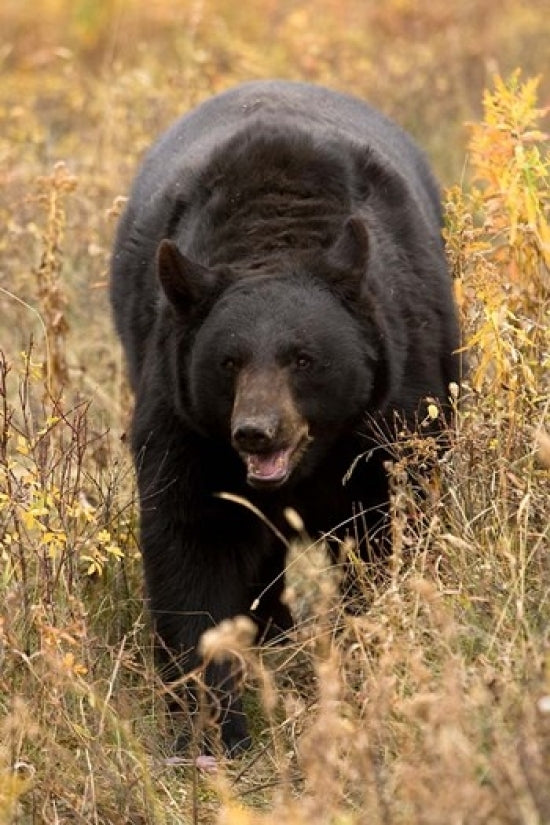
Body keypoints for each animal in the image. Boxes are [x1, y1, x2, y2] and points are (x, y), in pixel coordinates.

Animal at [111, 80, 462, 756]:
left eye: (304, 358)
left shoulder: (393, 405)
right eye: (228, 361)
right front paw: (210, 732)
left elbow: (390, 525)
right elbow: (193, 544)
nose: (256, 432)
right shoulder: (186, 421)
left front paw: (364, 659)